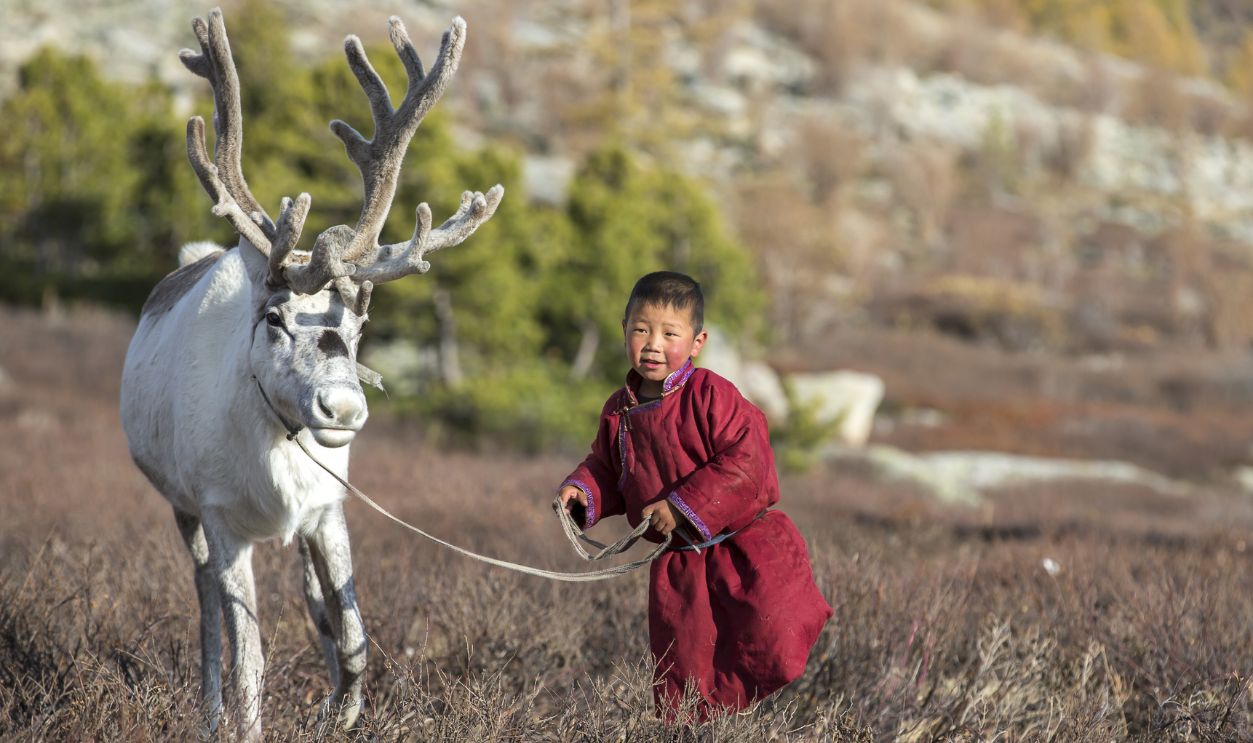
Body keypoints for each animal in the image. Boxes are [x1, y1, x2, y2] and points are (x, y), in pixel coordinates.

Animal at [119, 7, 501, 739]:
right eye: (273, 317)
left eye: (354, 331)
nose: (343, 409)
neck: (275, 441)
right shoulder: (221, 517)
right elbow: (250, 656)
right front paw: (245, 722)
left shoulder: (327, 508)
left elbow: (353, 634)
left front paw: (339, 709)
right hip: (182, 507)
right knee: (206, 604)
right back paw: (207, 709)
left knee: (313, 600)